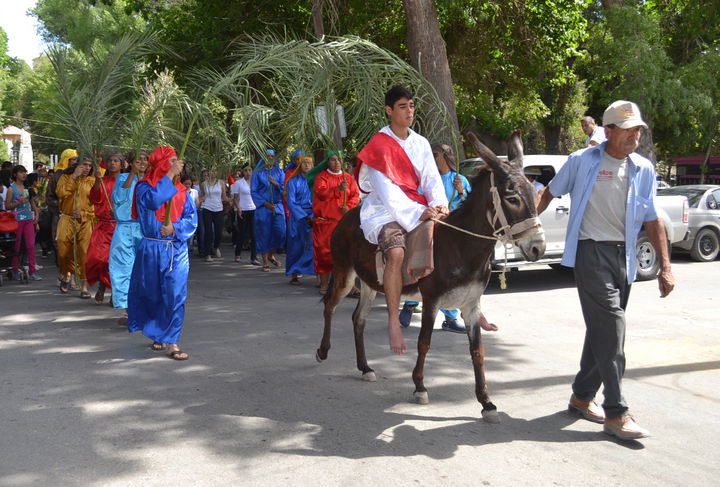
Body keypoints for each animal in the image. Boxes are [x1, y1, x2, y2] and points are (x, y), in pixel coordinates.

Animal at [315, 129, 546, 423]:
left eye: (534, 194)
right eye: (512, 198)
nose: (538, 247)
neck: (460, 245)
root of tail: (347, 215)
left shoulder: (471, 305)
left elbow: (478, 351)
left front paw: (486, 402)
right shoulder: (432, 300)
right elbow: (424, 342)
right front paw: (420, 386)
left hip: (369, 282)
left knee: (358, 318)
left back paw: (365, 367)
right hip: (345, 274)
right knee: (329, 306)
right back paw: (323, 351)